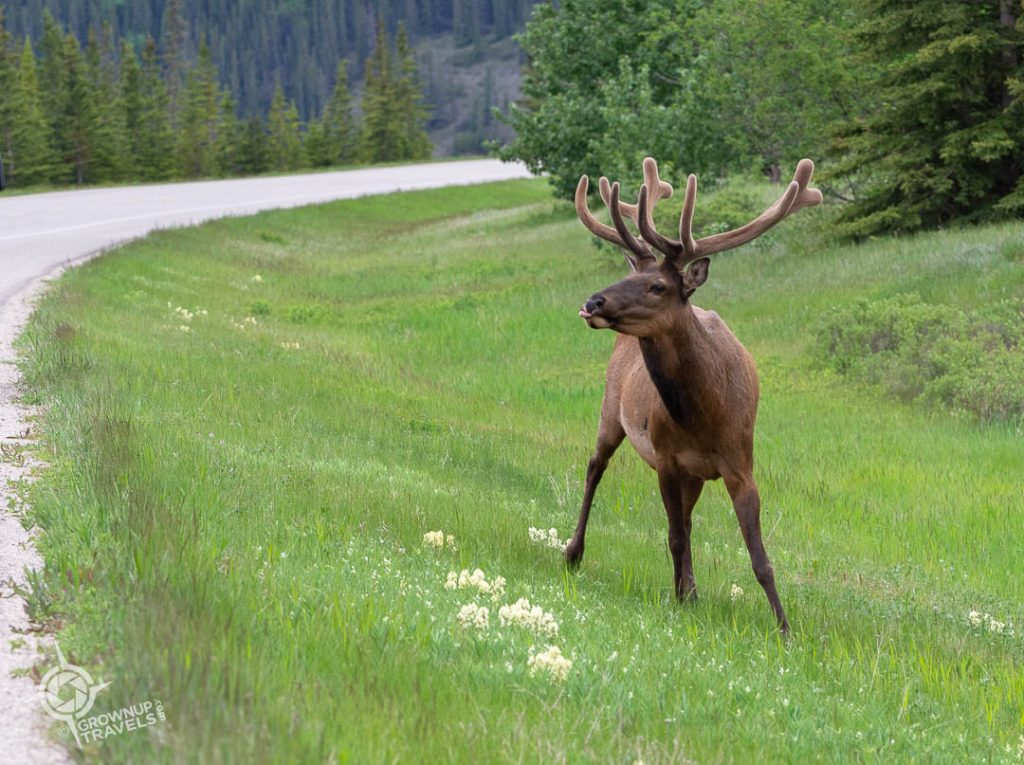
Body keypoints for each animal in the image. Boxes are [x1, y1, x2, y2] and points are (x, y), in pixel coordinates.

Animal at [565, 157, 822, 632]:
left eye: (658, 286)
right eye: (632, 277)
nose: (593, 302)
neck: (705, 415)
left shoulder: (739, 464)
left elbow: (760, 559)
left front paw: (784, 627)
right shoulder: (667, 458)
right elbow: (675, 537)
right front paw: (682, 598)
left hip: (695, 474)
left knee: (684, 518)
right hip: (611, 411)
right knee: (595, 467)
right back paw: (574, 553)